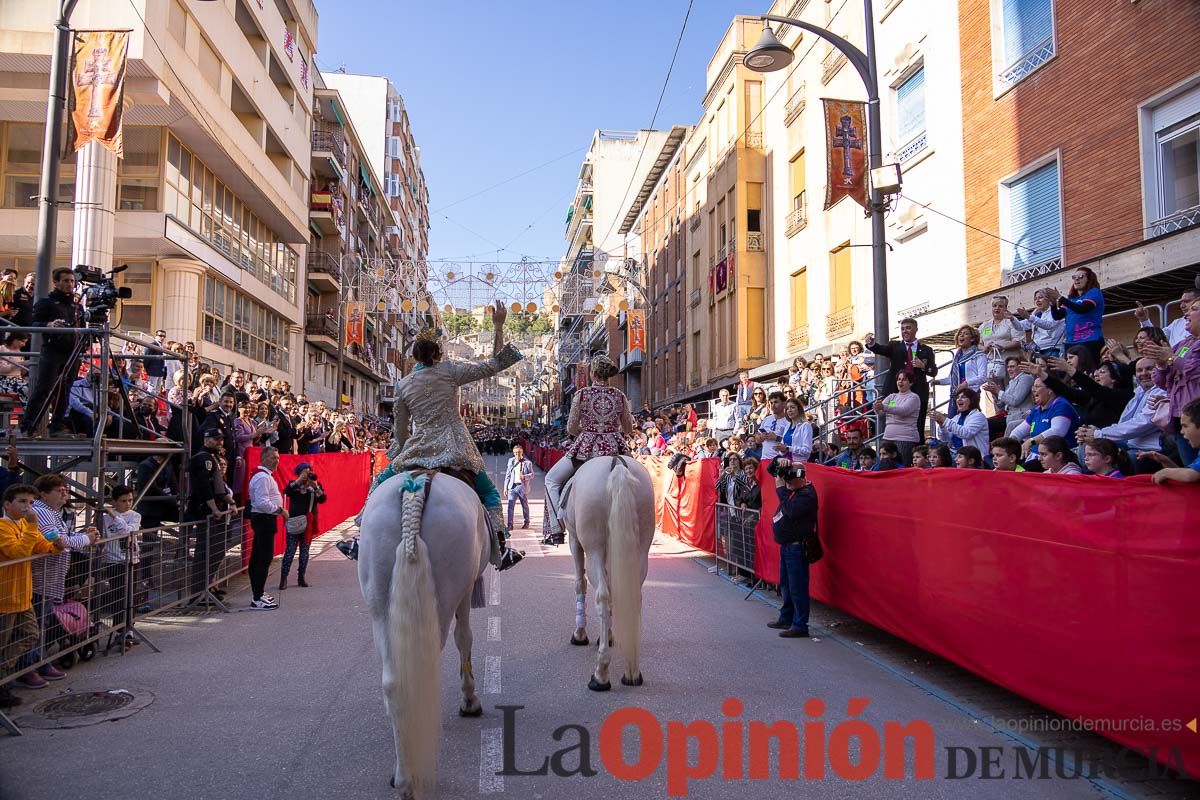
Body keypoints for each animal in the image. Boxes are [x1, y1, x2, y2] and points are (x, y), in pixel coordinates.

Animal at [355, 472, 492, 796]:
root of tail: (414, 490)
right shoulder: (465, 592)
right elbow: (464, 638)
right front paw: (470, 700)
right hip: (443, 597)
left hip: (379, 603)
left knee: (394, 682)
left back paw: (403, 772)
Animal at [561, 453, 657, 690]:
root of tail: (617, 465)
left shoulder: (574, 541)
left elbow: (579, 584)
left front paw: (580, 634)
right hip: (640, 550)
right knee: (631, 595)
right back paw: (632, 671)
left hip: (593, 548)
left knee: (602, 596)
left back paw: (601, 674)